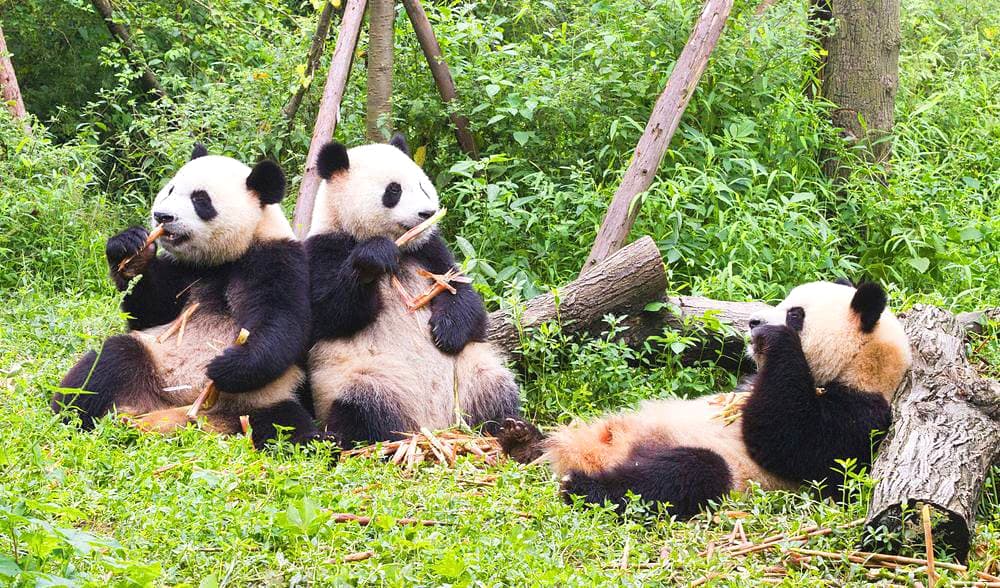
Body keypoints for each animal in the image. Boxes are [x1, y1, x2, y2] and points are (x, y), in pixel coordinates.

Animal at [52, 145, 324, 449]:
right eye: (170, 190)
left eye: (200, 200)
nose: (162, 216)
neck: (225, 259)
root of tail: (178, 412)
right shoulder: (185, 271)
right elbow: (150, 311)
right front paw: (130, 250)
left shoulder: (276, 260)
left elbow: (283, 323)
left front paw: (227, 365)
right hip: (153, 360)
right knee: (108, 362)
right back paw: (69, 415)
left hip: (264, 398)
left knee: (286, 428)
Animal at [304, 134, 521, 447]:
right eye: (393, 190)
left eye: (421, 185)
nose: (427, 213)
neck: (402, 248)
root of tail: (434, 427)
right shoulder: (323, 249)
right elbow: (329, 311)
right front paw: (374, 257)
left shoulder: (430, 250)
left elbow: (464, 297)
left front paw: (446, 331)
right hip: (369, 379)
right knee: (363, 408)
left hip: (472, 373)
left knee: (496, 392)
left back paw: (513, 430)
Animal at [497, 280, 912, 517]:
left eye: (796, 314)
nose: (754, 322)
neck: (860, 366)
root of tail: (589, 455)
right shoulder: (750, 384)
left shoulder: (862, 415)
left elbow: (794, 443)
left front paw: (776, 340)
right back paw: (523, 439)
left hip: (721, 468)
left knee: (683, 474)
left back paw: (583, 487)